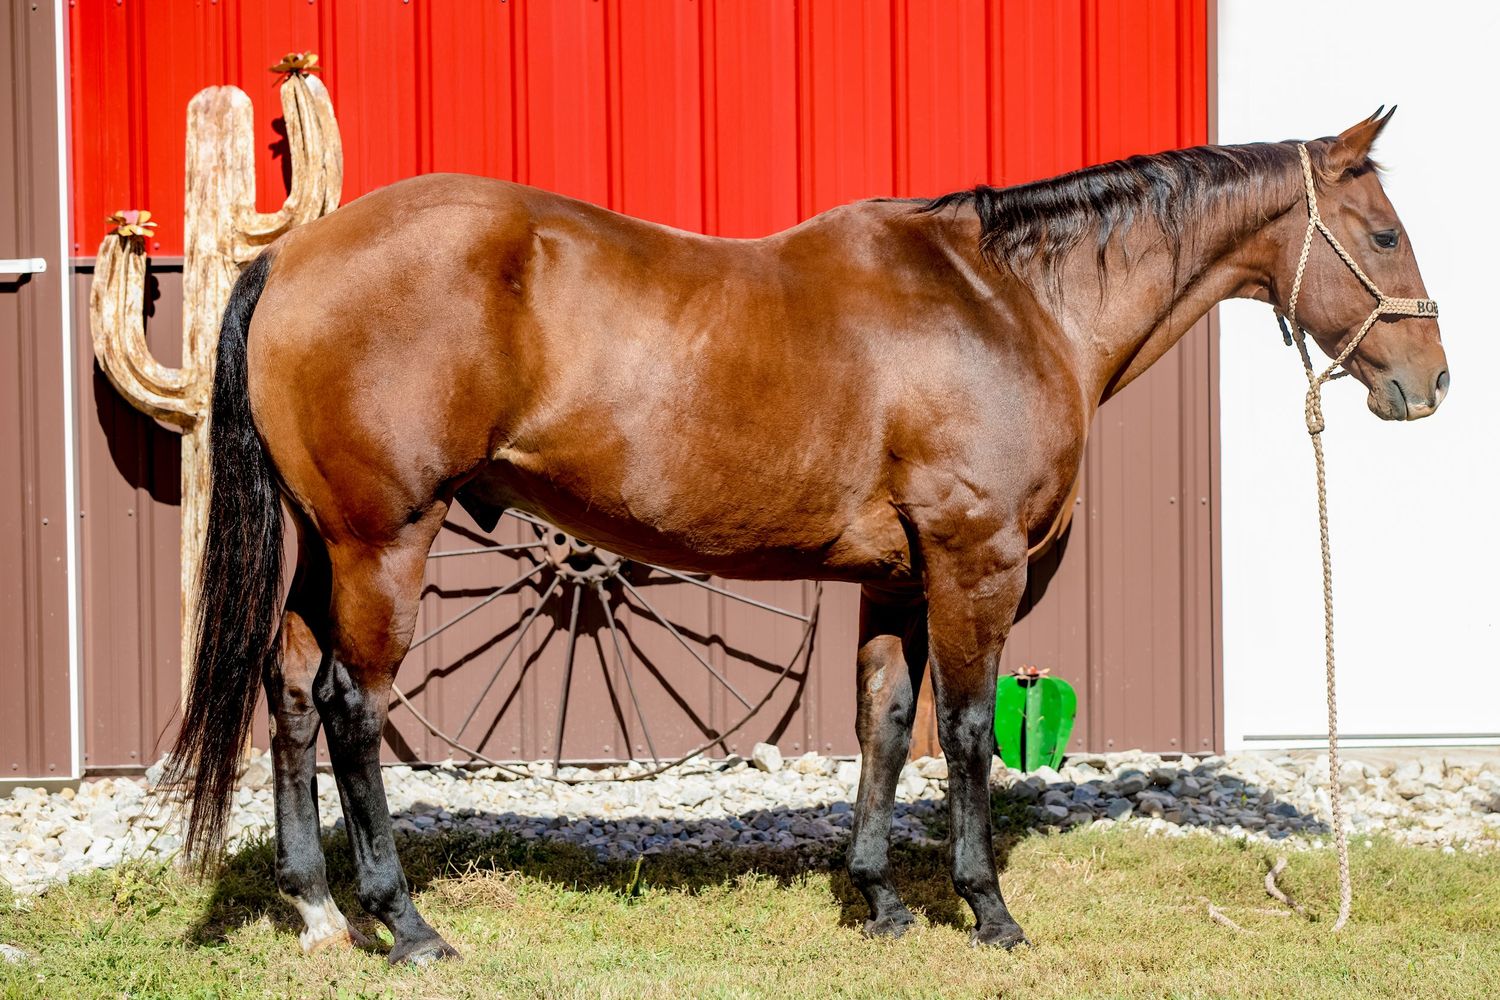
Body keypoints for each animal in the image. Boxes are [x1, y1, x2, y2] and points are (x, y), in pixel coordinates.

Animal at [164, 108, 1446, 963]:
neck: (1010, 302)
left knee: (287, 684)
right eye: (1383, 234)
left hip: (328, 546)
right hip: (386, 541)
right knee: (350, 705)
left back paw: (317, 907)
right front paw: (986, 907)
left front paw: (879, 898)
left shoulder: (896, 577)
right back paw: (406, 920)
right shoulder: (975, 563)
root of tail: (290, 257)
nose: (1429, 382)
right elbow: (964, 733)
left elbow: (883, 721)